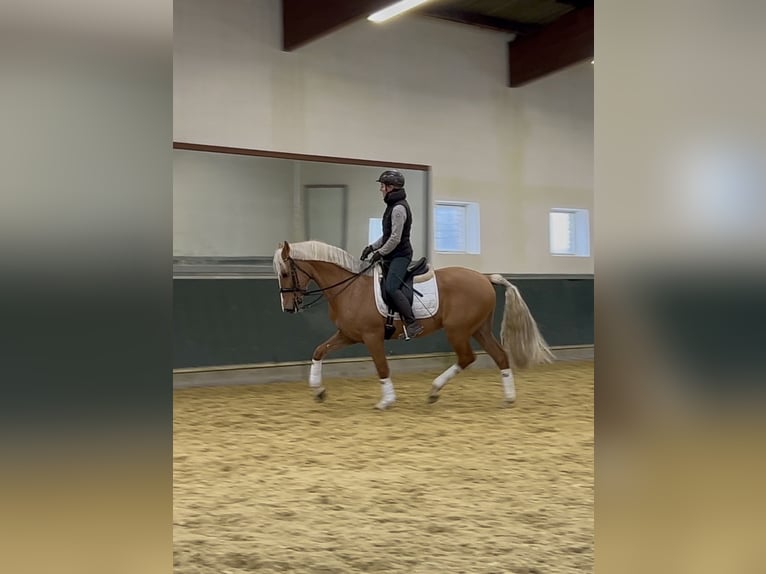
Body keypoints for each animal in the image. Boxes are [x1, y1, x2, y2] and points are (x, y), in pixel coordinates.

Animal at [274, 240, 554, 410]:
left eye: (286, 273)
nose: (287, 307)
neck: (350, 288)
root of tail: (485, 278)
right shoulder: (348, 335)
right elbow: (319, 351)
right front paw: (318, 390)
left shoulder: (372, 336)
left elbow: (382, 367)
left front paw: (386, 401)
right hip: (478, 329)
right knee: (499, 356)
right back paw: (508, 397)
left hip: (458, 330)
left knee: (467, 358)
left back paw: (434, 390)